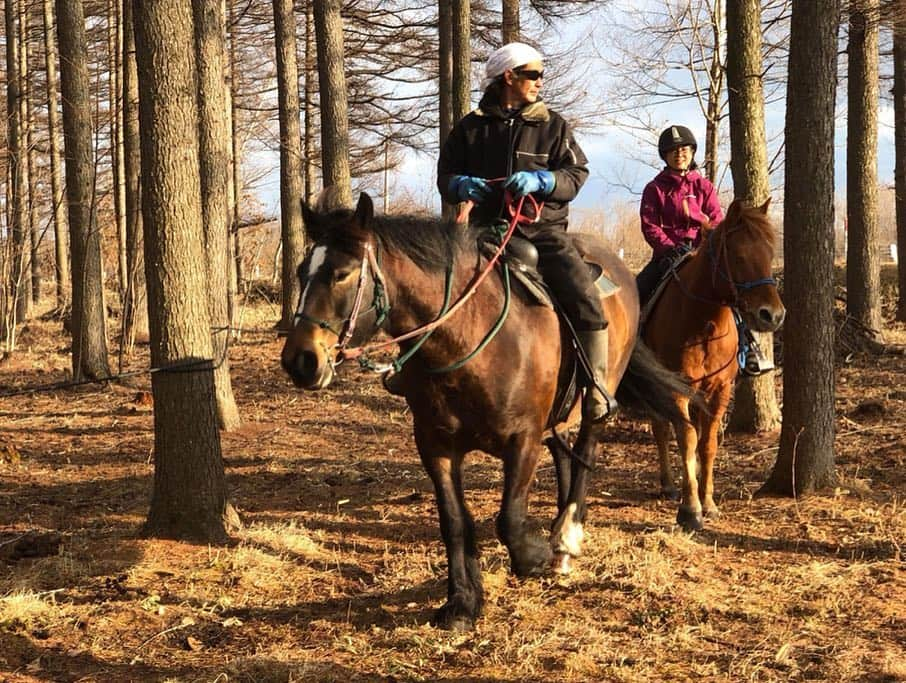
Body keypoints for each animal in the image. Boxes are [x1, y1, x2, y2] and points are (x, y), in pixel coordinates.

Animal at [282, 192, 692, 632]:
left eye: (341, 274)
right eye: (302, 271)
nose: (300, 361)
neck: (467, 339)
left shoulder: (523, 441)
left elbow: (508, 518)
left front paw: (534, 556)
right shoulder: (435, 445)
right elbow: (455, 522)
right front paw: (462, 602)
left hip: (598, 395)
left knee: (586, 452)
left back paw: (565, 539)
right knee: (565, 453)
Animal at [644, 198, 784, 536]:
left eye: (770, 252)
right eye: (738, 255)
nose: (772, 315)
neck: (703, 323)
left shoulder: (720, 390)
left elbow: (707, 444)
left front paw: (707, 502)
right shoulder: (676, 389)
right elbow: (687, 439)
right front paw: (689, 510)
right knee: (660, 428)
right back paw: (668, 485)